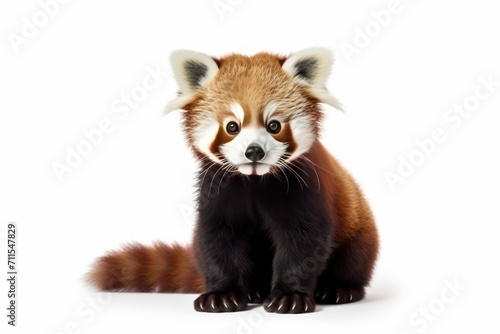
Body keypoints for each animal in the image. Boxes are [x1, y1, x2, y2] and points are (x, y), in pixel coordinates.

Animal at [89, 47, 378, 314]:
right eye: (232, 127)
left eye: (274, 125)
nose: (254, 151)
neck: (254, 182)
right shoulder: (216, 191)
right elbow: (218, 241)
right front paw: (223, 295)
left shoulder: (304, 188)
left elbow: (304, 243)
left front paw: (289, 296)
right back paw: (254, 290)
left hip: (359, 228)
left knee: (355, 257)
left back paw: (337, 289)